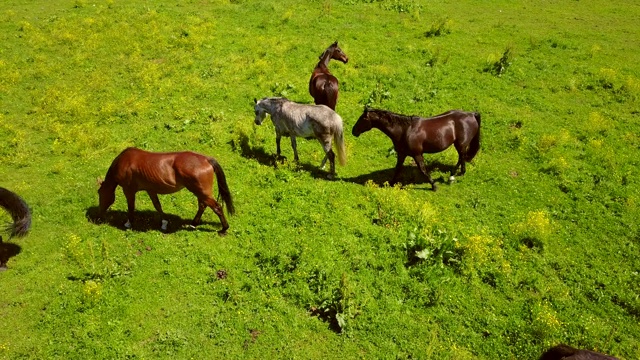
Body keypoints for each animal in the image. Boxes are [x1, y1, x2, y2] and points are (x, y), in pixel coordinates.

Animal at [100, 147, 238, 235]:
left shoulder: (129, 190)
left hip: (202, 192)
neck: (124, 162)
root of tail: (206, 159)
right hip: (200, 192)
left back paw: (224, 229)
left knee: (217, 207)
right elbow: (157, 206)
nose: (99, 216)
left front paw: (128, 223)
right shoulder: (151, 190)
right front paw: (164, 223)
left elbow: (131, 207)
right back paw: (193, 223)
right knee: (203, 206)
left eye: (99, 194)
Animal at [350, 107, 480, 190]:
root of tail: (471, 114)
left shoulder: (417, 154)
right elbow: (397, 169)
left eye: (363, 118)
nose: (353, 131)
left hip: (460, 144)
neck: (405, 131)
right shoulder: (402, 154)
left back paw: (453, 175)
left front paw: (434, 186)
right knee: (462, 157)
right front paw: (390, 184)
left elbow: (423, 170)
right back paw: (458, 173)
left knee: (462, 157)